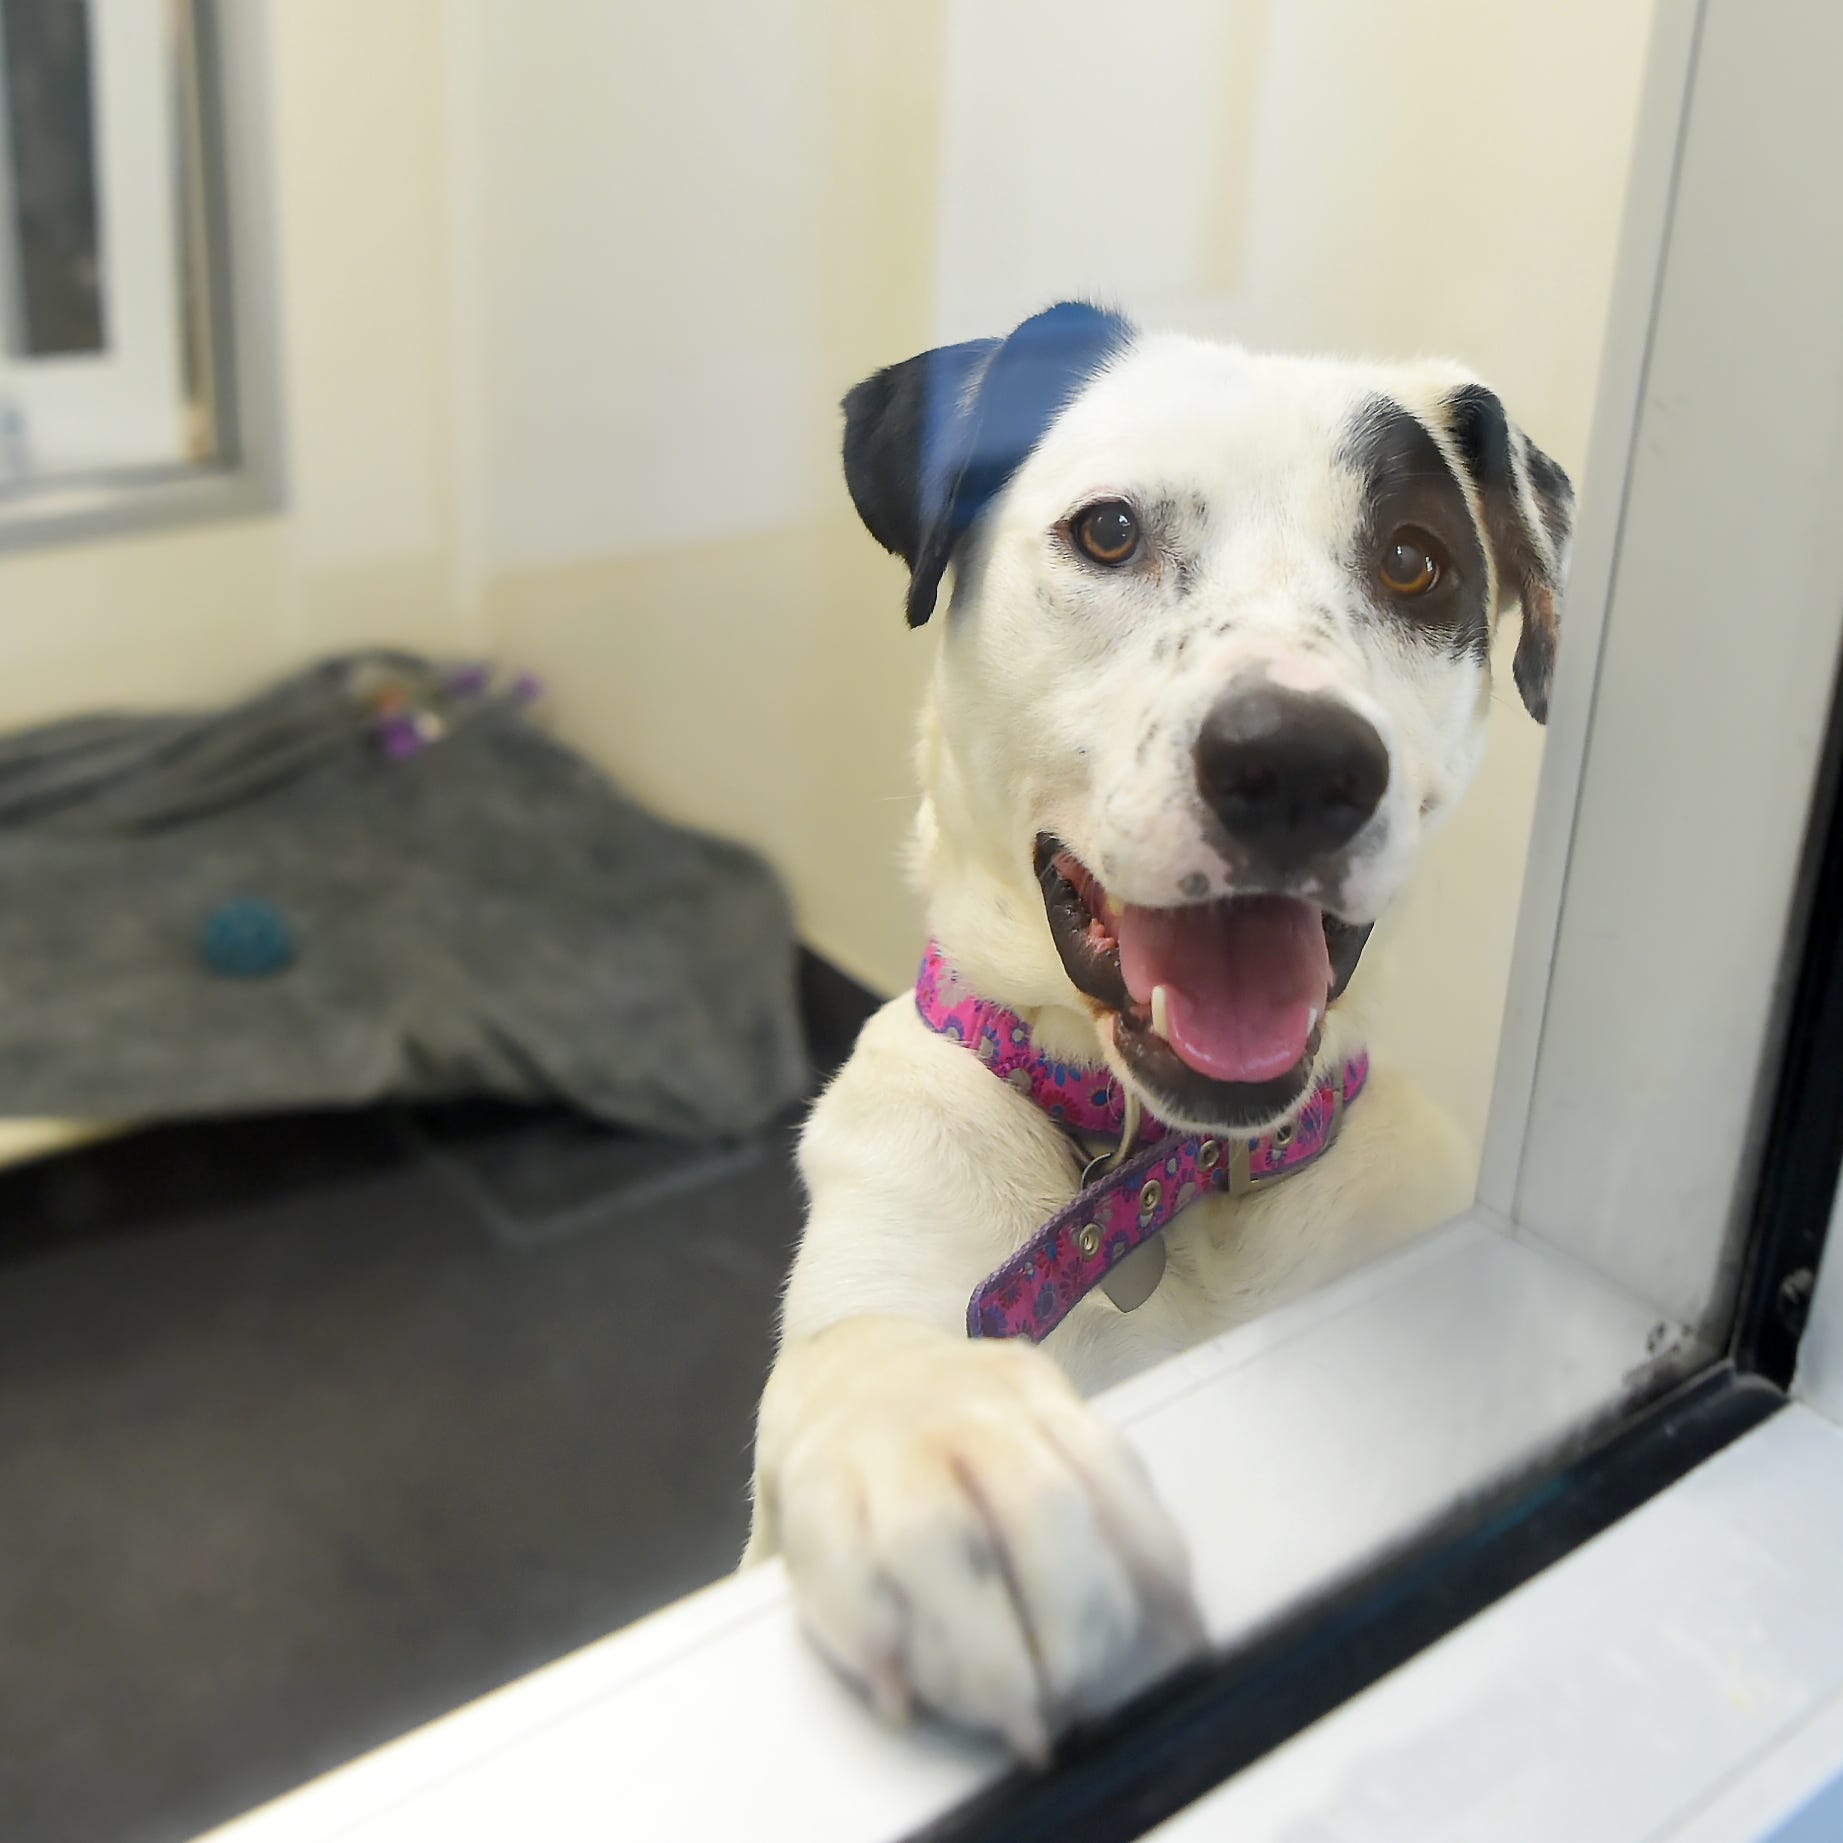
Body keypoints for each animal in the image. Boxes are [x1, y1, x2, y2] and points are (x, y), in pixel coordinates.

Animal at [740, 298, 1577, 1754]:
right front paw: (944, 1441)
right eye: (1109, 532)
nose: (1296, 763)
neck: (1155, 1172)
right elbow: (864, 1353)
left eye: (1413, 563)